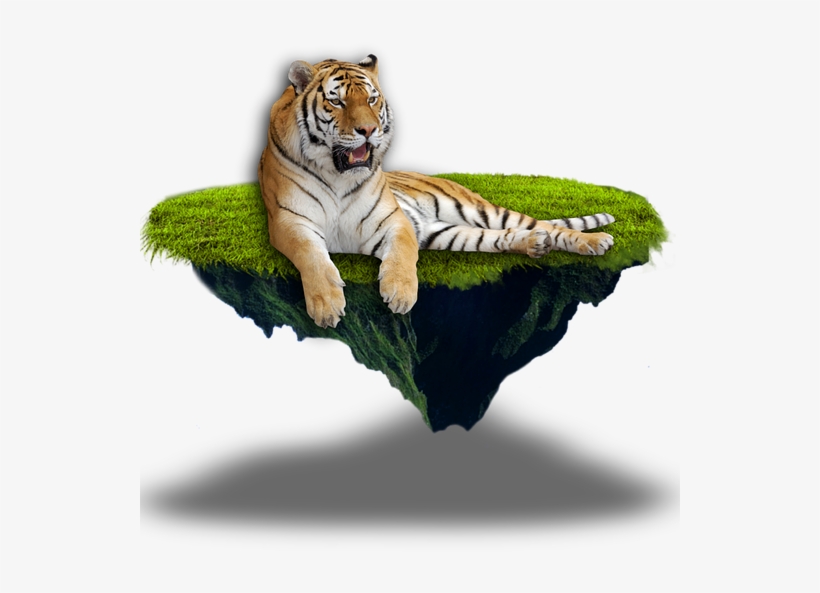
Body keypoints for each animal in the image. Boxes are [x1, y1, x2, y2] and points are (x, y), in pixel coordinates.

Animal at [258, 55, 615, 329]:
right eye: (336, 100)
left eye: (371, 99)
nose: (369, 130)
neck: (338, 176)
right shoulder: (289, 221)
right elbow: (313, 257)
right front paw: (327, 305)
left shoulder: (394, 220)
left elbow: (402, 255)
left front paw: (400, 293)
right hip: (446, 232)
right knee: (501, 237)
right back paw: (534, 244)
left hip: (478, 210)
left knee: (545, 226)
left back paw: (596, 241)